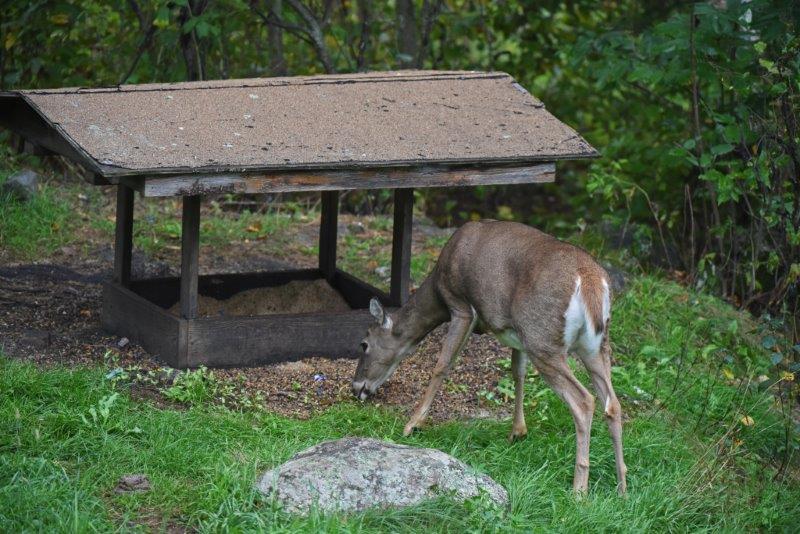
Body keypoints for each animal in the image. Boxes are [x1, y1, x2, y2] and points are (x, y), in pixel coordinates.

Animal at [352, 220, 627, 494]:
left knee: (584, 401)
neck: (437, 289)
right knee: (612, 403)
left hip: (543, 340)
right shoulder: (516, 334)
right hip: (594, 346)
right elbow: (518, 372)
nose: (356, 388)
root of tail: (591, 282)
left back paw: (579, 490)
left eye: (364, 344)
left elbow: (442, 364)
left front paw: (413, 424)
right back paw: (622, 486)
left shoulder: (461, 306)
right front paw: (518, 431)